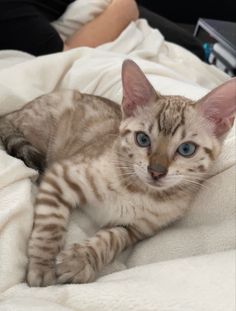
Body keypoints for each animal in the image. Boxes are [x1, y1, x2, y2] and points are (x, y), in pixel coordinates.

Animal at [0, 59, 235, 288]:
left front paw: (80, 259)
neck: (140, 192)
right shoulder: (60, 175)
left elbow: (114, 236)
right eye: (142, 139)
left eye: (186, 149)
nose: (156, 171)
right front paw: (42, 266)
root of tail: (12, 112)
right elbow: (50, 223)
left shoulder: (137, 230)